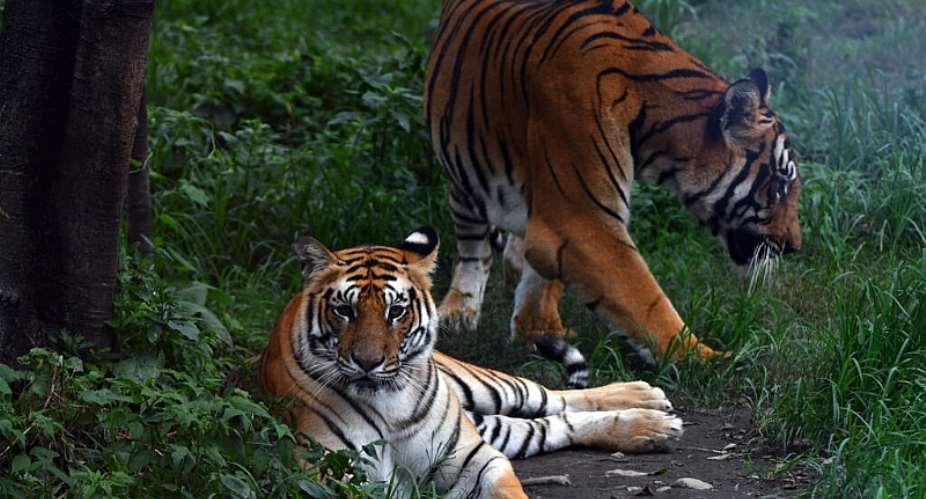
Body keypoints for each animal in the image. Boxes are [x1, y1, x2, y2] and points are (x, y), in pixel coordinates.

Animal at [258, 227, 683, 498]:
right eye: (344, 310)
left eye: (396, 311)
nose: (368, 362)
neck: (390, 404)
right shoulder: (322, 471)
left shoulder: (477, 461)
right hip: (490, 425)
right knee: (552, 424)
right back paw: (651, 426)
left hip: (486, 387)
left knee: (551, 397)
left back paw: (647, 402)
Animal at [425, 0, 802, 360]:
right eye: (780, 184)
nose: (795, 247)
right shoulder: (581, 221)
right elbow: (646, 299)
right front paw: (711, 359)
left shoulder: (556, 211)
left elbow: (545, 276)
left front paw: (539, 328)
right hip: (463, 173)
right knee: (473, 249)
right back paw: (459, 311)